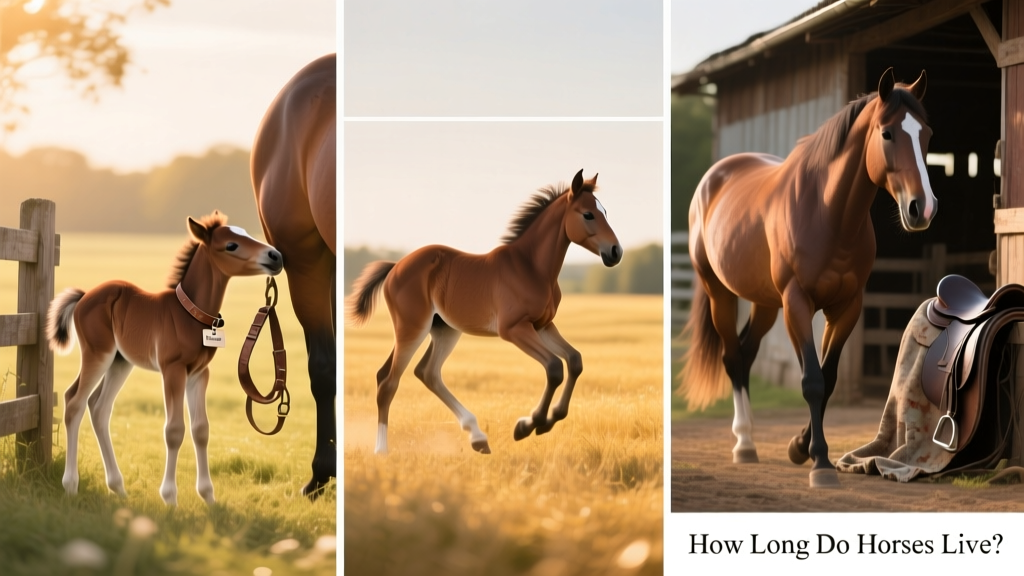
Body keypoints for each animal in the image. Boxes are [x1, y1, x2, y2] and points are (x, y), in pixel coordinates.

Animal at [47, 212, 283, 505]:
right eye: (231, 245)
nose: (276, 256)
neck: (190, 315)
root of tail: (83, 297)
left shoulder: (199, 374)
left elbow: (201, 429)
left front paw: (208, 497)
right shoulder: (173, 370)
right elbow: (174, 430)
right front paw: (170, 497)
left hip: (120, 362)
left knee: (99, 407)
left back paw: (118, 487)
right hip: (98, 354)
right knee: (74, 402)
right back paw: (70, 485)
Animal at [346, 170, 622, 455]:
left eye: (604, 211)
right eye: (588, 214)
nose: (615, 252)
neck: (531, 267)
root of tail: (395, 266)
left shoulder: (543, 325)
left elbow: (575, 360)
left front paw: (546, 421)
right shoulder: (514, 329)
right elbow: (555, 367)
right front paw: (529, 425)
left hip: (444, 330)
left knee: (425, 373)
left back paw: (478, 437)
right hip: (413, 328)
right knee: (389, 382)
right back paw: (381, 450)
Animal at [679, 68, 936, 488]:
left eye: (926, 134)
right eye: (887, 134)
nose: (923, 208)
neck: (826, 213)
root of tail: (714, 177)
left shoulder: (846, 308)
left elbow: (828, 378)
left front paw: (801, 446)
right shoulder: (797, 303)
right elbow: (812, 381)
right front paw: (819, 462)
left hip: (765, 303)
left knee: (746, 355)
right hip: (721, 295)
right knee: (732, 358)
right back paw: (743, 442)